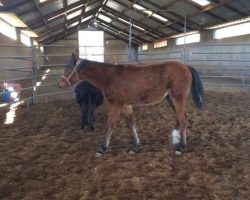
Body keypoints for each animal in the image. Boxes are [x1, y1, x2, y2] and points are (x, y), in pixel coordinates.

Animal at [57, 54, 204, 157]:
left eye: (68, 68)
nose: (60, 84)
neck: (110, 77)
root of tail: (186, 66)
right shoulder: (126, 105)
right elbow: (131, 124)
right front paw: (135, 147)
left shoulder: (116, 104)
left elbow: (111, 124)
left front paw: (102, 148)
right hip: (170, 99)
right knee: (180, 118)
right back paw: (176, 139)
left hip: (178, 99)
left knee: (183, 120)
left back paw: (181, 147)